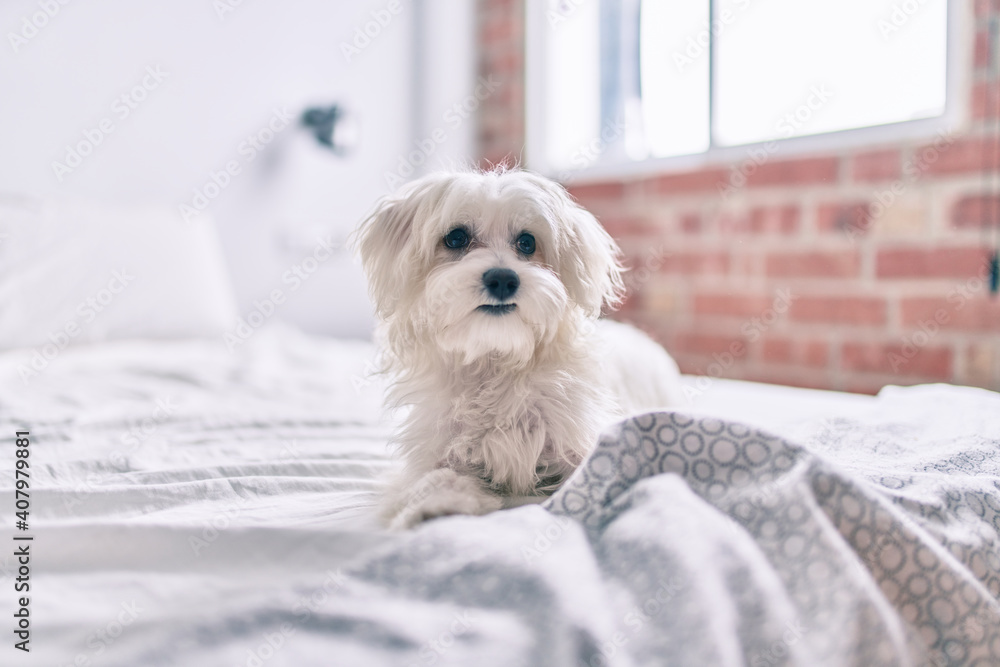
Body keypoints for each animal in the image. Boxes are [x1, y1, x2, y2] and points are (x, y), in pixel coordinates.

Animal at [352, 170, 680, 528]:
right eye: (456, 238)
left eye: (527, 242)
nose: (502, 279)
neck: (497, 361)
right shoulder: (435, 453)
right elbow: (436, 478)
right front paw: (435, 506)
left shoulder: (580, 442)